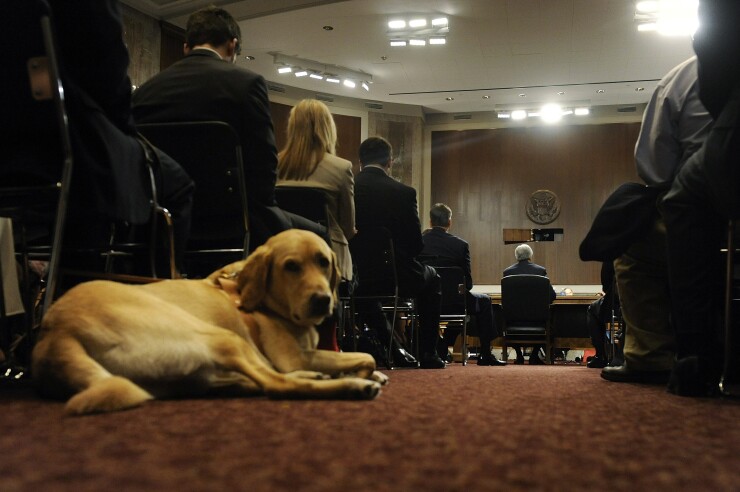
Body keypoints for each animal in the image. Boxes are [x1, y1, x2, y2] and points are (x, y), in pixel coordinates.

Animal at [31, 229, 388, 414]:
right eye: (291, 266)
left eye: (323, 262)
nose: (322, 300)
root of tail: (56, 332)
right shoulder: (292, 356)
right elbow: (366, 356)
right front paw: (359, 373)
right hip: (221, 337)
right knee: (275, 384)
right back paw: (351, 387)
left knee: (252, 381)